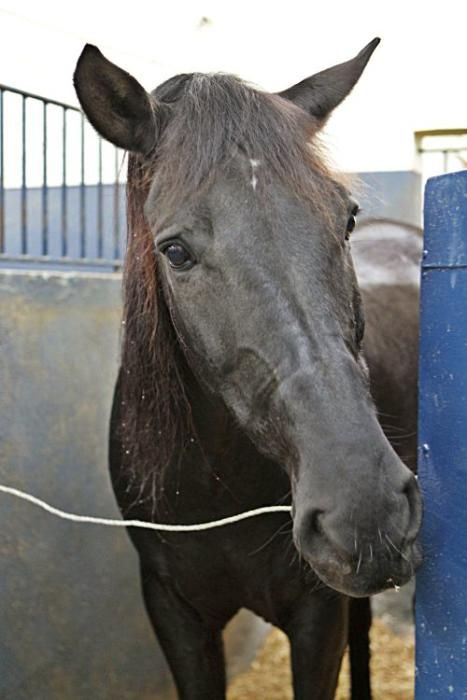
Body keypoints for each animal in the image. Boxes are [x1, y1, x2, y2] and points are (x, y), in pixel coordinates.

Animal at [74, 39, 424, 700]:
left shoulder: (317, 619)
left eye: (346, 219)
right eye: (175, 251)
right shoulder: (176, 614)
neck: (217, 484)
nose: (364, 510)